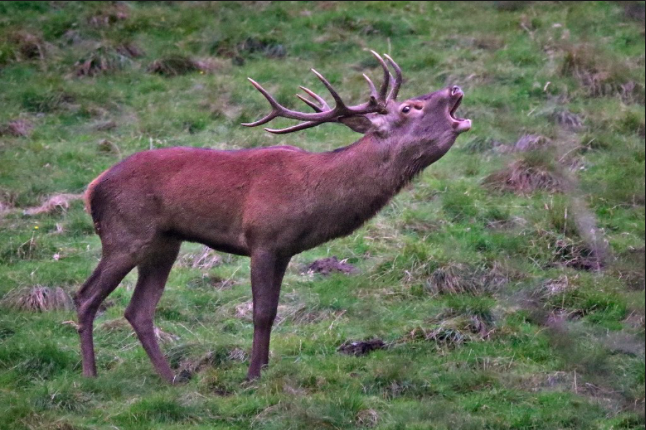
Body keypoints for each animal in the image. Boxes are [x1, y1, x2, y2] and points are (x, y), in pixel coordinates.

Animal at [77, 50, 470, 382]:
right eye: (409, 107)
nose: (454, 87)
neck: (313, 195)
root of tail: (91, 189)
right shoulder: (263, 239)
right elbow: (262, 312)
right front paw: (252, 376)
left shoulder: (285, 250)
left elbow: (275, 311)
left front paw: (264, 369)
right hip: (125, 234)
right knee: (86, 295)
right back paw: (91, 375)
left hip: (164, 243)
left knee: (139, 309)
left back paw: (170, 378)